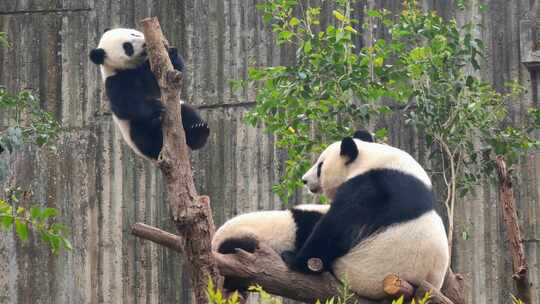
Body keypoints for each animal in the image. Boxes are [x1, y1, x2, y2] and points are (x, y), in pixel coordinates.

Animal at [88, 28, 209, 159]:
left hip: (180, 111)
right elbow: (124, 104)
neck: (128, 68)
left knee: (187, 112)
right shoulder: (115, 81)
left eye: (133, 34)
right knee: (144, 135)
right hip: (134, 134)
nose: (144, 44)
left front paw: (171, 53)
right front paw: (156, 106)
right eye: (127, 47)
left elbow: (172, 72)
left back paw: (198, 131)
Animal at [213, 131, 450, 300]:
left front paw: (295, 260)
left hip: (361, 272)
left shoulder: (373, 186)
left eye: (320, 165)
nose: (304, 180)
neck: (372, 158)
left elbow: (338, 228)